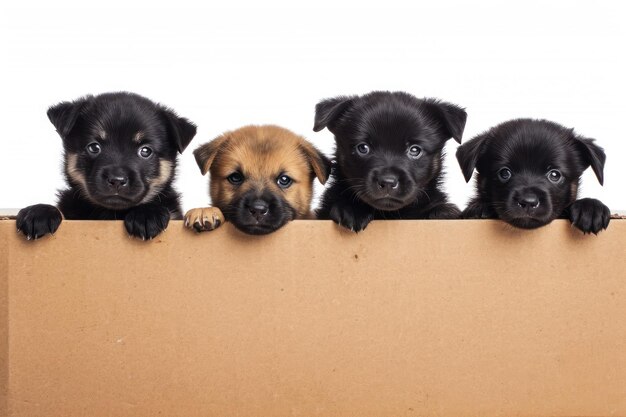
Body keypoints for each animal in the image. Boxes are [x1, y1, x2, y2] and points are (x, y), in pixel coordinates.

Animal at [16, 91, 195, 240]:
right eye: (94, 147)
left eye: (145, 151)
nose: (117, 180)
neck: (111, 213)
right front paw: (39, 212)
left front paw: (146, 215)